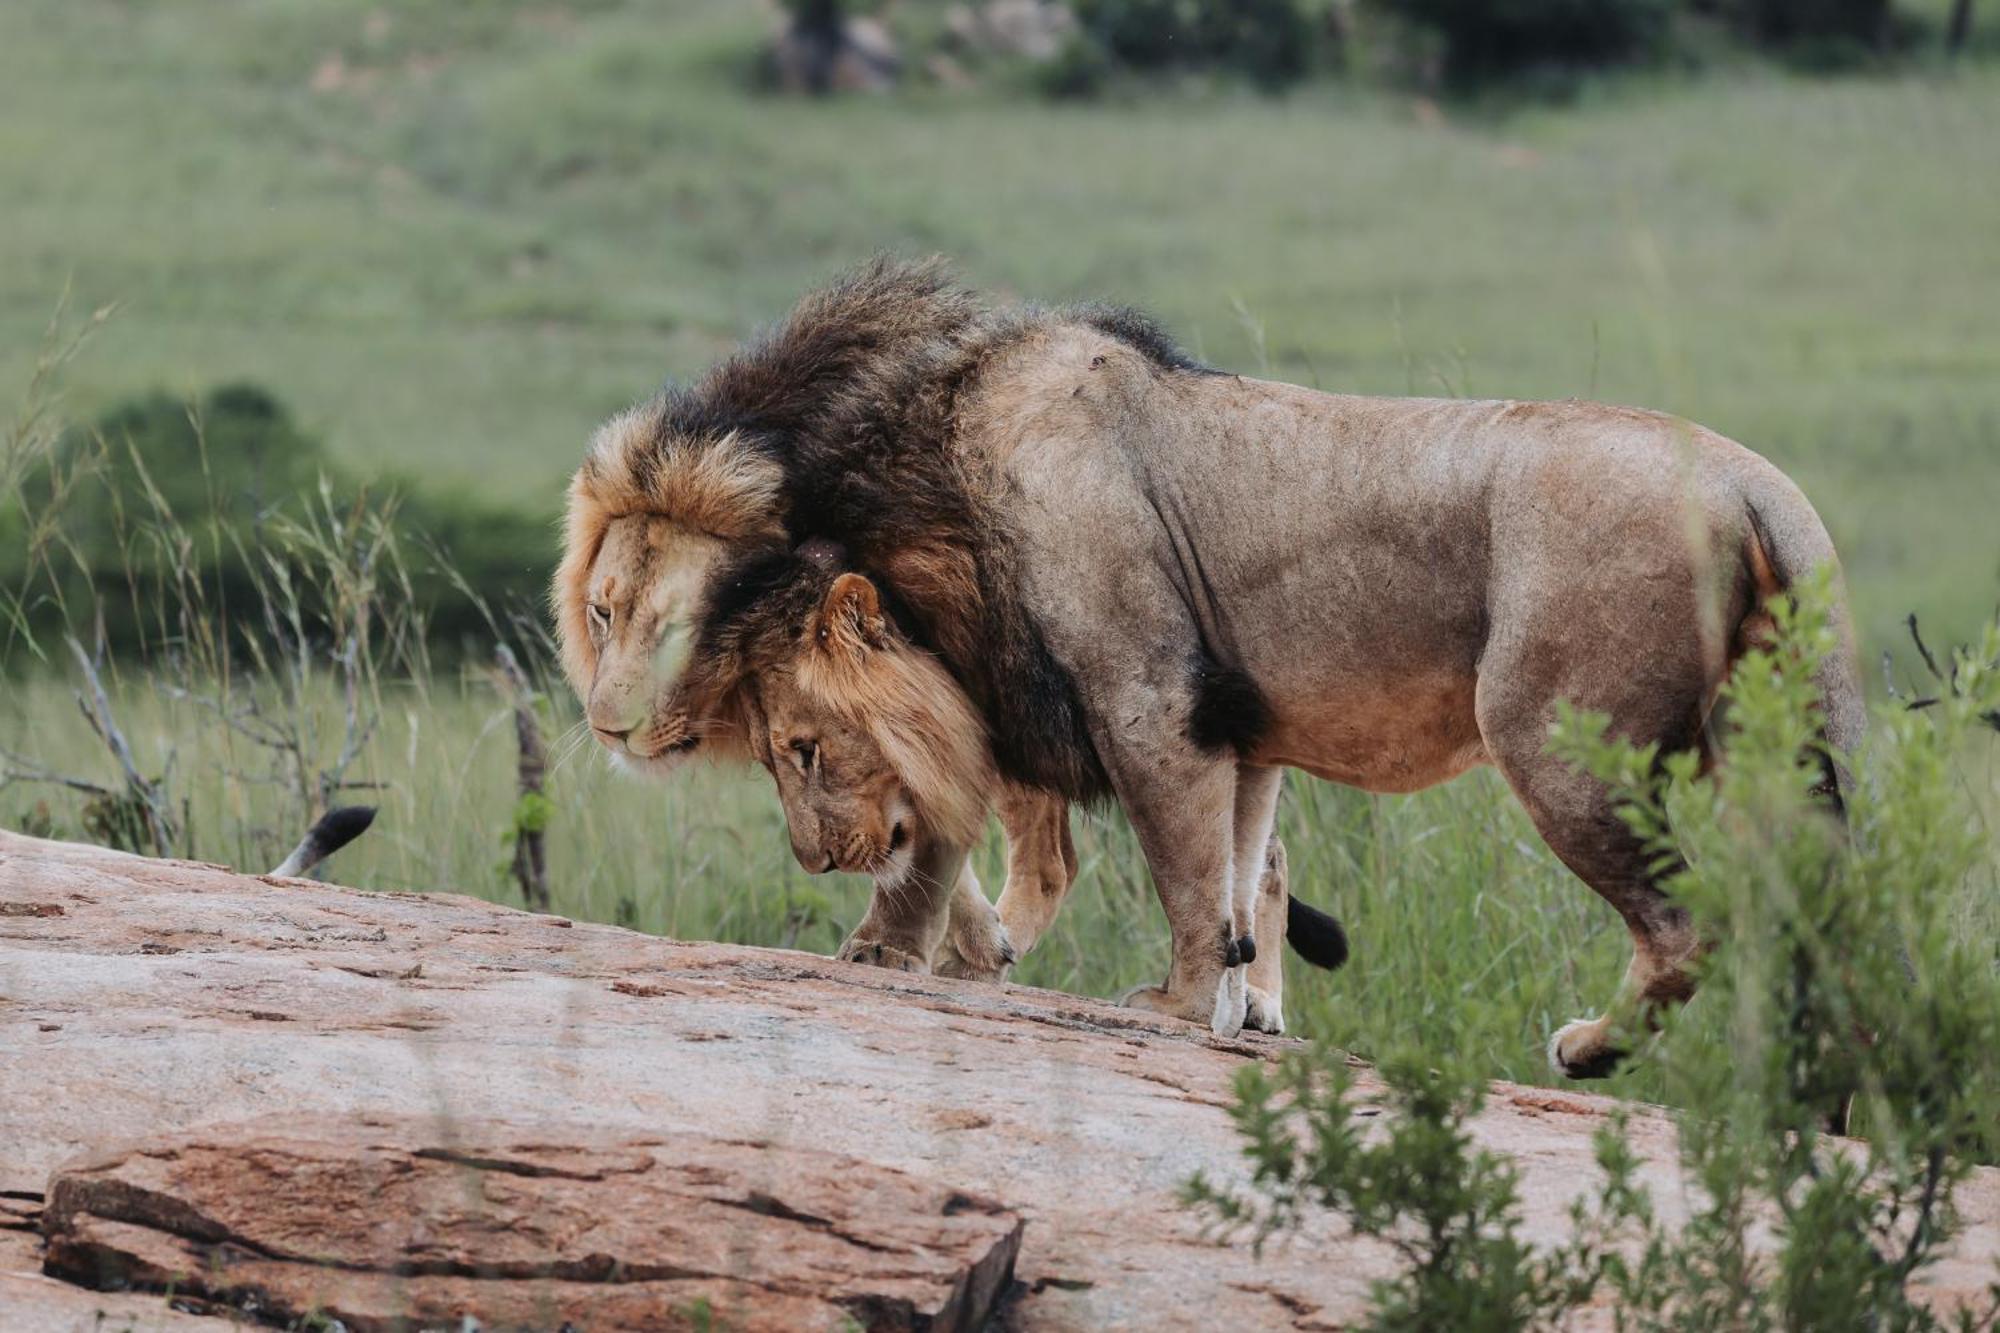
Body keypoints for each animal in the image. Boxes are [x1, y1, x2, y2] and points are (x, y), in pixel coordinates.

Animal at [552, 256, 1856, 1072]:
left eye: (802, 748)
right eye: (601, 613)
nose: (813, 859)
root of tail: (1757, 482)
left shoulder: (1149, 701)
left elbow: (1184, 872)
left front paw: (1173, 1007)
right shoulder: (1238, 724)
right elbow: (1235, 869)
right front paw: (1229, 1005)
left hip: (1560, 742)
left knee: (1682, 927)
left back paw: (1588, 1050)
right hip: (1773, 758)